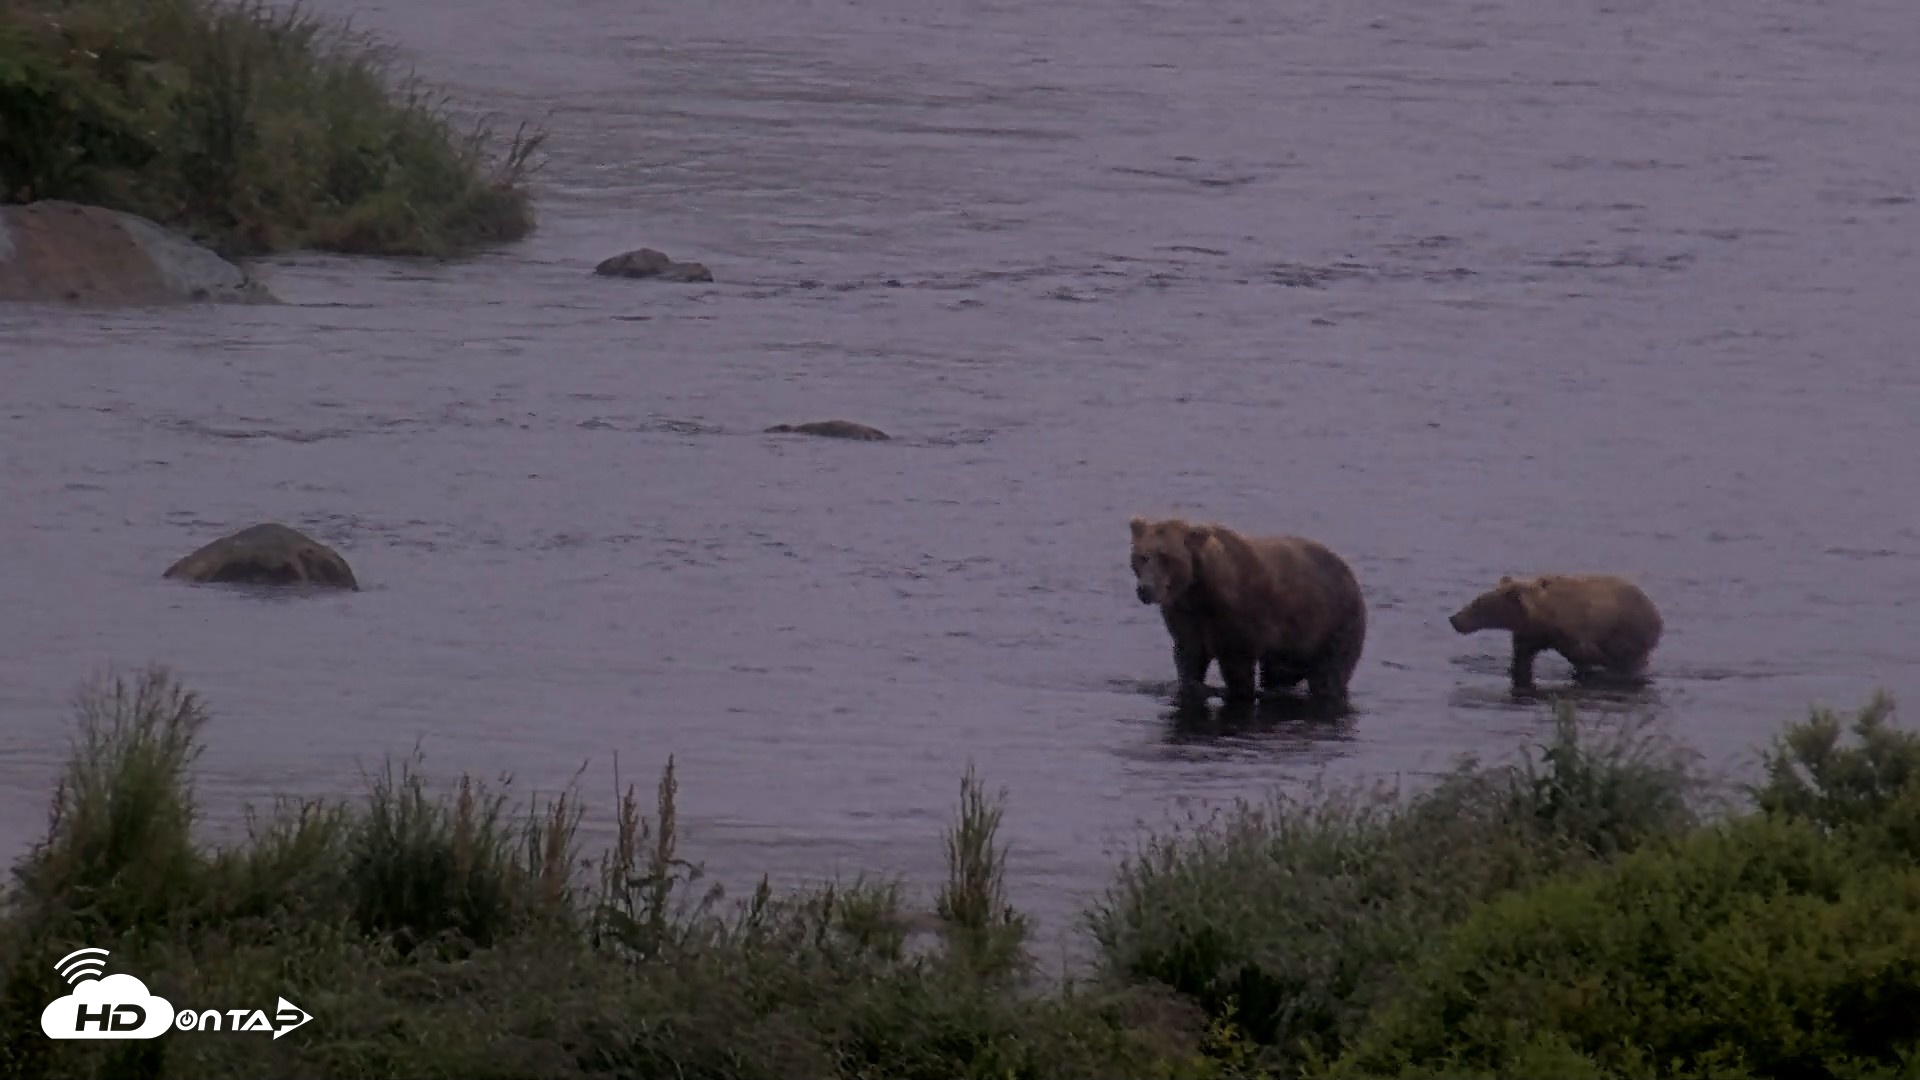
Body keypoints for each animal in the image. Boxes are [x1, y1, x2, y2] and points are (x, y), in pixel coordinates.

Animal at [1129, 516, 1368, 706]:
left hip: (1335, 622)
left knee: (1330, 674)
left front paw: (1234, 691)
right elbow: (1189, 657)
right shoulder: (1185, 616)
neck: (1198, 591)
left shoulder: (1240, 619)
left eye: (1167, 556)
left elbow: (1237, 666)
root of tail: (1350, 573)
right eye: (1142, 556)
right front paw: (1191, 686)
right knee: (1279, 673)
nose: (1145, 588)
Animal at [1448, 574, 1663, 689]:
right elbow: (1522, 659)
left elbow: (1586, 655)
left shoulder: (1575, 633)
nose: (1454, 619)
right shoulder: (1531, 634)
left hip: (1632, 630)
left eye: (1478, 605)